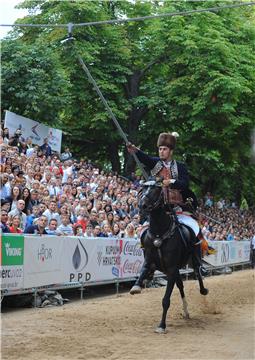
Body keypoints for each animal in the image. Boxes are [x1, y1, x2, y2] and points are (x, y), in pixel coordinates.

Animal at [130, 181, 208, 334]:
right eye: (144, 188)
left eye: (156, 190)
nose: (142, 206)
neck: (160, 233)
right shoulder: (151, 261)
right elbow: (143, 270)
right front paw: (137, 286)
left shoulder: (172, 269)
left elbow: (166, 300)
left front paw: (161, 325)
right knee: (181, 286)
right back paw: (186, 311)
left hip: (191, 260)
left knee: (197, 273)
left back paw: (203, 291)